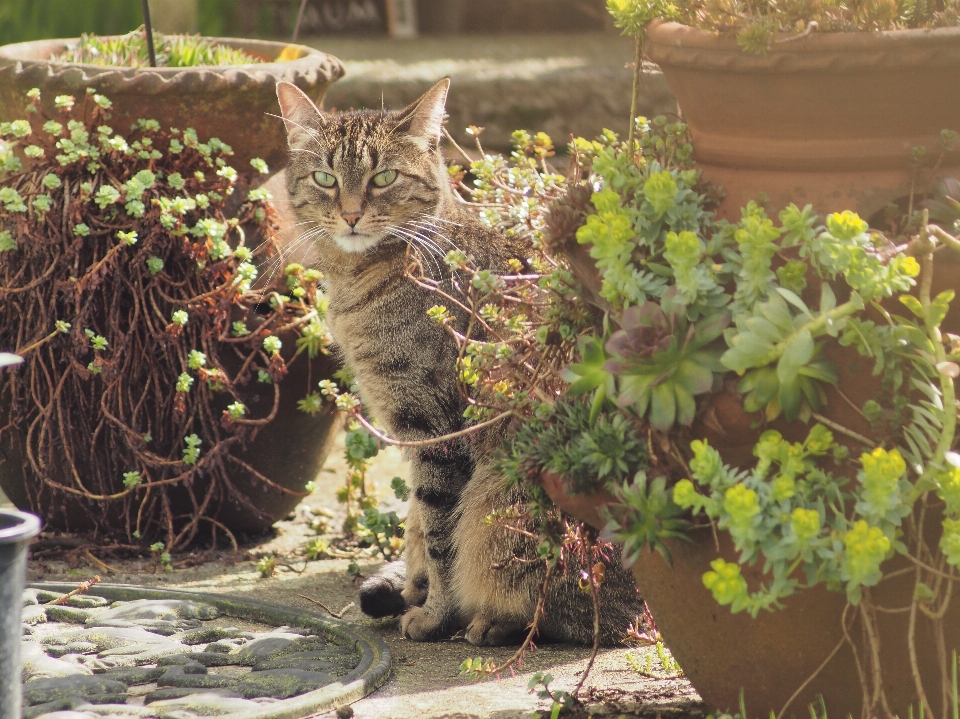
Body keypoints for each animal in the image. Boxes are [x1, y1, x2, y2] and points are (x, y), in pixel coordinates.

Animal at [274, 79, 640, 648]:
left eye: (383, 177)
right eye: (325, 178)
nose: (352, 215)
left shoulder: (435, 428)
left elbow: (439, 530)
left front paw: (435, 614)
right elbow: (419, 526)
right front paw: (417, 589)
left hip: (506, 493)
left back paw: (493, 621)